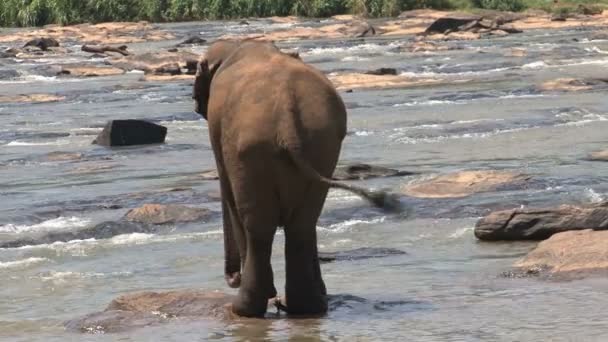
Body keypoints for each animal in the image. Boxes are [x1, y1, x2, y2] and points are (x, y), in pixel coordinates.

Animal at [191, 38, 400, 316]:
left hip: (249, 151)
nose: (232, 278)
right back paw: (307, 306)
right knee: (303, 223)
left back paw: (244, 309)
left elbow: (228, 192)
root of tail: (286, 121)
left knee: (258, 225)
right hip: (320, 144)